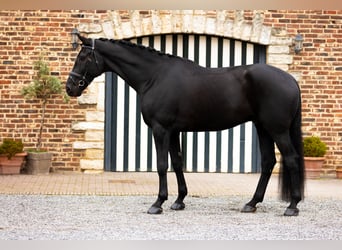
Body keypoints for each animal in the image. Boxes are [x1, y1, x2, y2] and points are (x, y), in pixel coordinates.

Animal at [67, 34, 304, 216]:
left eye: (83, 57)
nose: (70, 87)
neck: (154, 77)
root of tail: (291, 80)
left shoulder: (160, 129)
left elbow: (162, 165)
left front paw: (158, 203)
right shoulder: (173, 131)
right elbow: (177, 163)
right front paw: (179, 201)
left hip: (277, 130)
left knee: (291, 159)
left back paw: (292, 206)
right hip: (262, 127)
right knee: (268, 162)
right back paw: (251, 203)